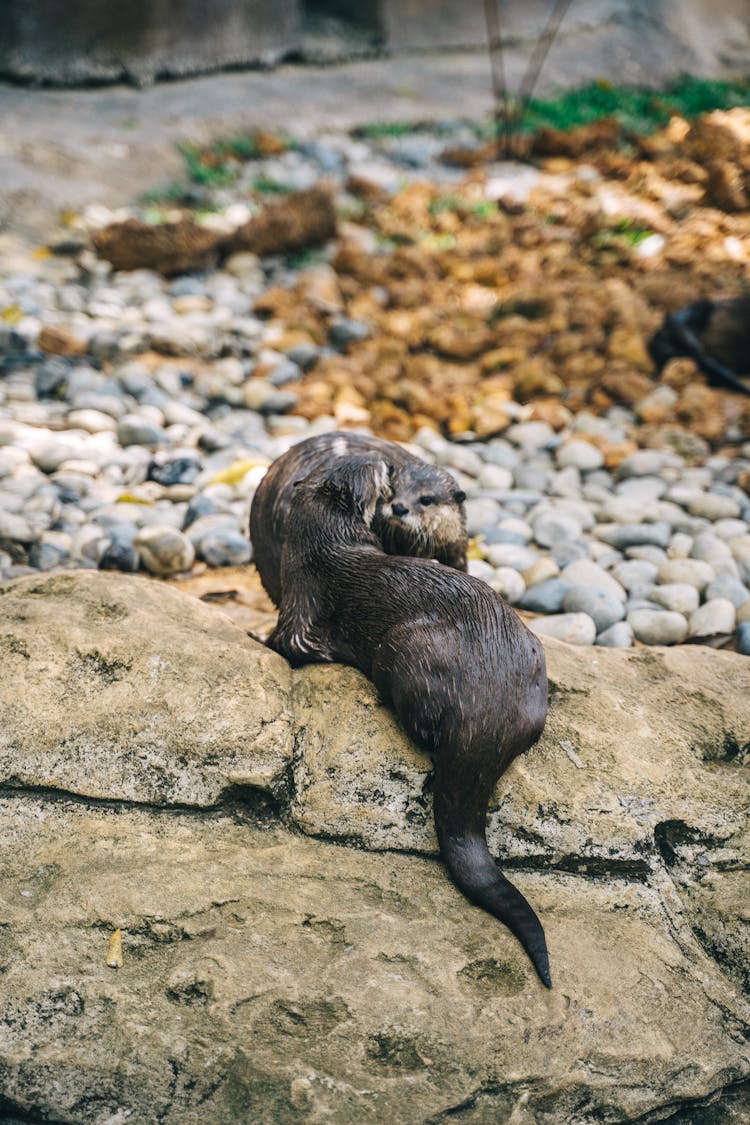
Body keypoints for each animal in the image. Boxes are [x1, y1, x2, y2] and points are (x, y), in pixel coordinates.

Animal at [269, 452, 550, 990]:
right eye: (379, 473)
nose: (383, 456)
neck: (322, 545)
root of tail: (485, 703)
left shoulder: (300, 609)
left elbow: (290, 646)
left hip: (404, 650)